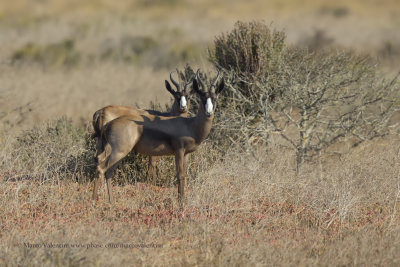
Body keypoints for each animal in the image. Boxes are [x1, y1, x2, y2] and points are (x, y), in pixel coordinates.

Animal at [92, 70, 227, 205]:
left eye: (215, 98)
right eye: (202, 98)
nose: (209, 113)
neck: (190, 125)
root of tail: (108, 123)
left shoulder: (187, 154)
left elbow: (184, 175)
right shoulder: (178, 151)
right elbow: (179, 175)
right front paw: (180, 204)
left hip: (118, 153)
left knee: (108, 171)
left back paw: (111, 201)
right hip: (118, 151)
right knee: (101, 168)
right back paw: (93, 201)